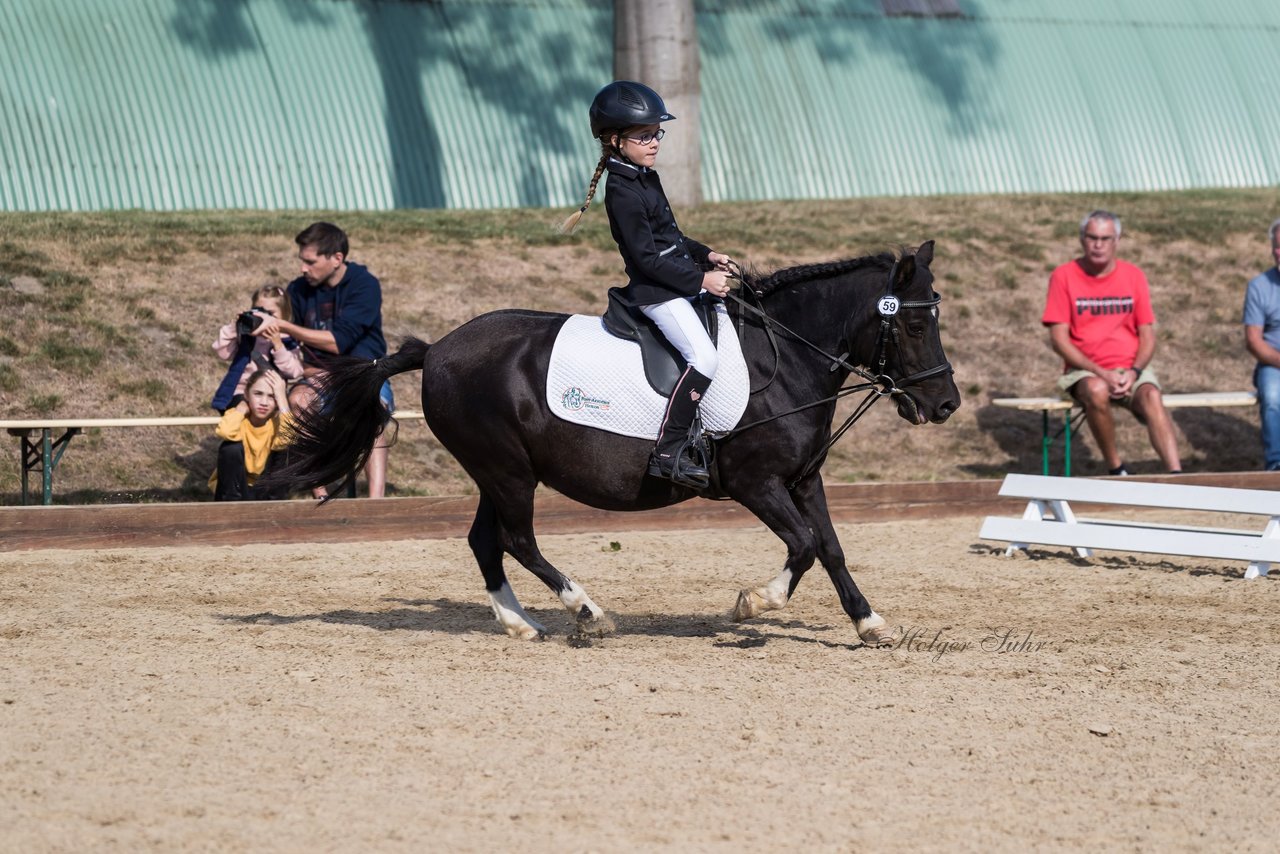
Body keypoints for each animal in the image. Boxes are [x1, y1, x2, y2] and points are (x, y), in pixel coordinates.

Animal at [272, 240, 962, 640]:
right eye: (915, 324)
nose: (946, 404)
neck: (787, 357)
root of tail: (438, 348)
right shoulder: (756, 483)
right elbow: (803, 545)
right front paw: (750, 604)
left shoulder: (802, 477)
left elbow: (831, 547)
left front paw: (869, 622)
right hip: (507, 471)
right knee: (518, 540)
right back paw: (587, 612)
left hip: (496, 471)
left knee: (486, 542)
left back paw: (521, 624)